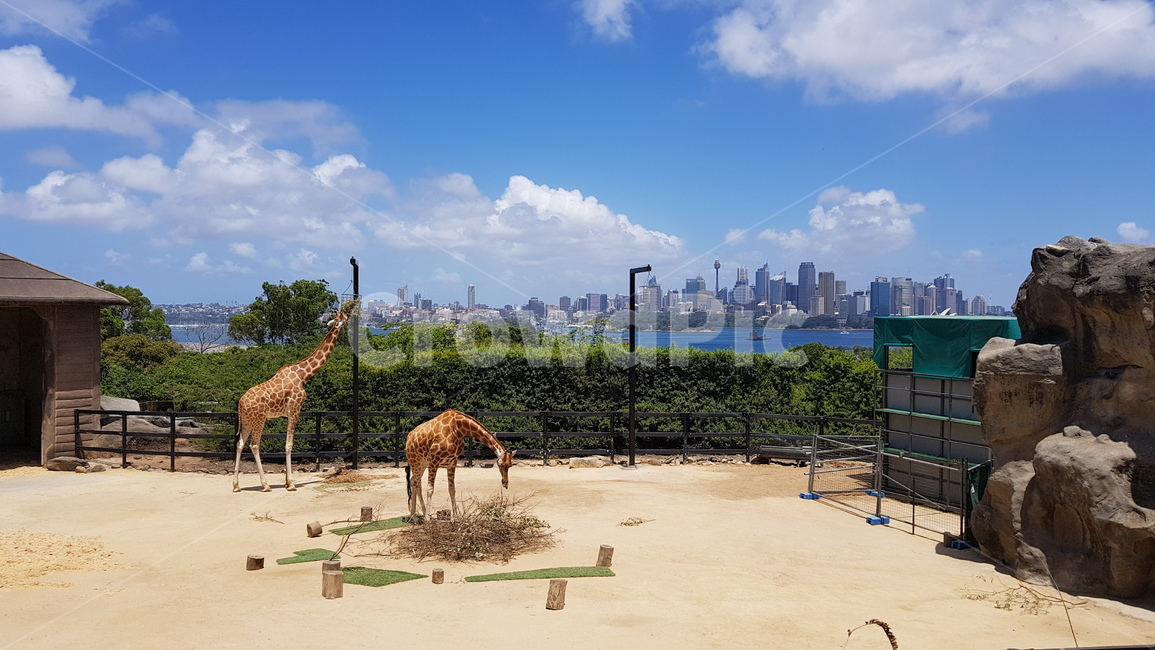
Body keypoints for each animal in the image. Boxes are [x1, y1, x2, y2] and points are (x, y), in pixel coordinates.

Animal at [232, 310, 350, 492]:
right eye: (343, 318)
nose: (350, 318)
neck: (304, 375)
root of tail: (240, 403)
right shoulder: (295, 410)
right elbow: (289, 445)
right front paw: (291, 484)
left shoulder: (288, 414)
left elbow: (286, 444)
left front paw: (286, 482)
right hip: (259, 419)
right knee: (254, 445)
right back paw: (265, 485)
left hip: (246, 421)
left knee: (240, 444)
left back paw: (236, 485)